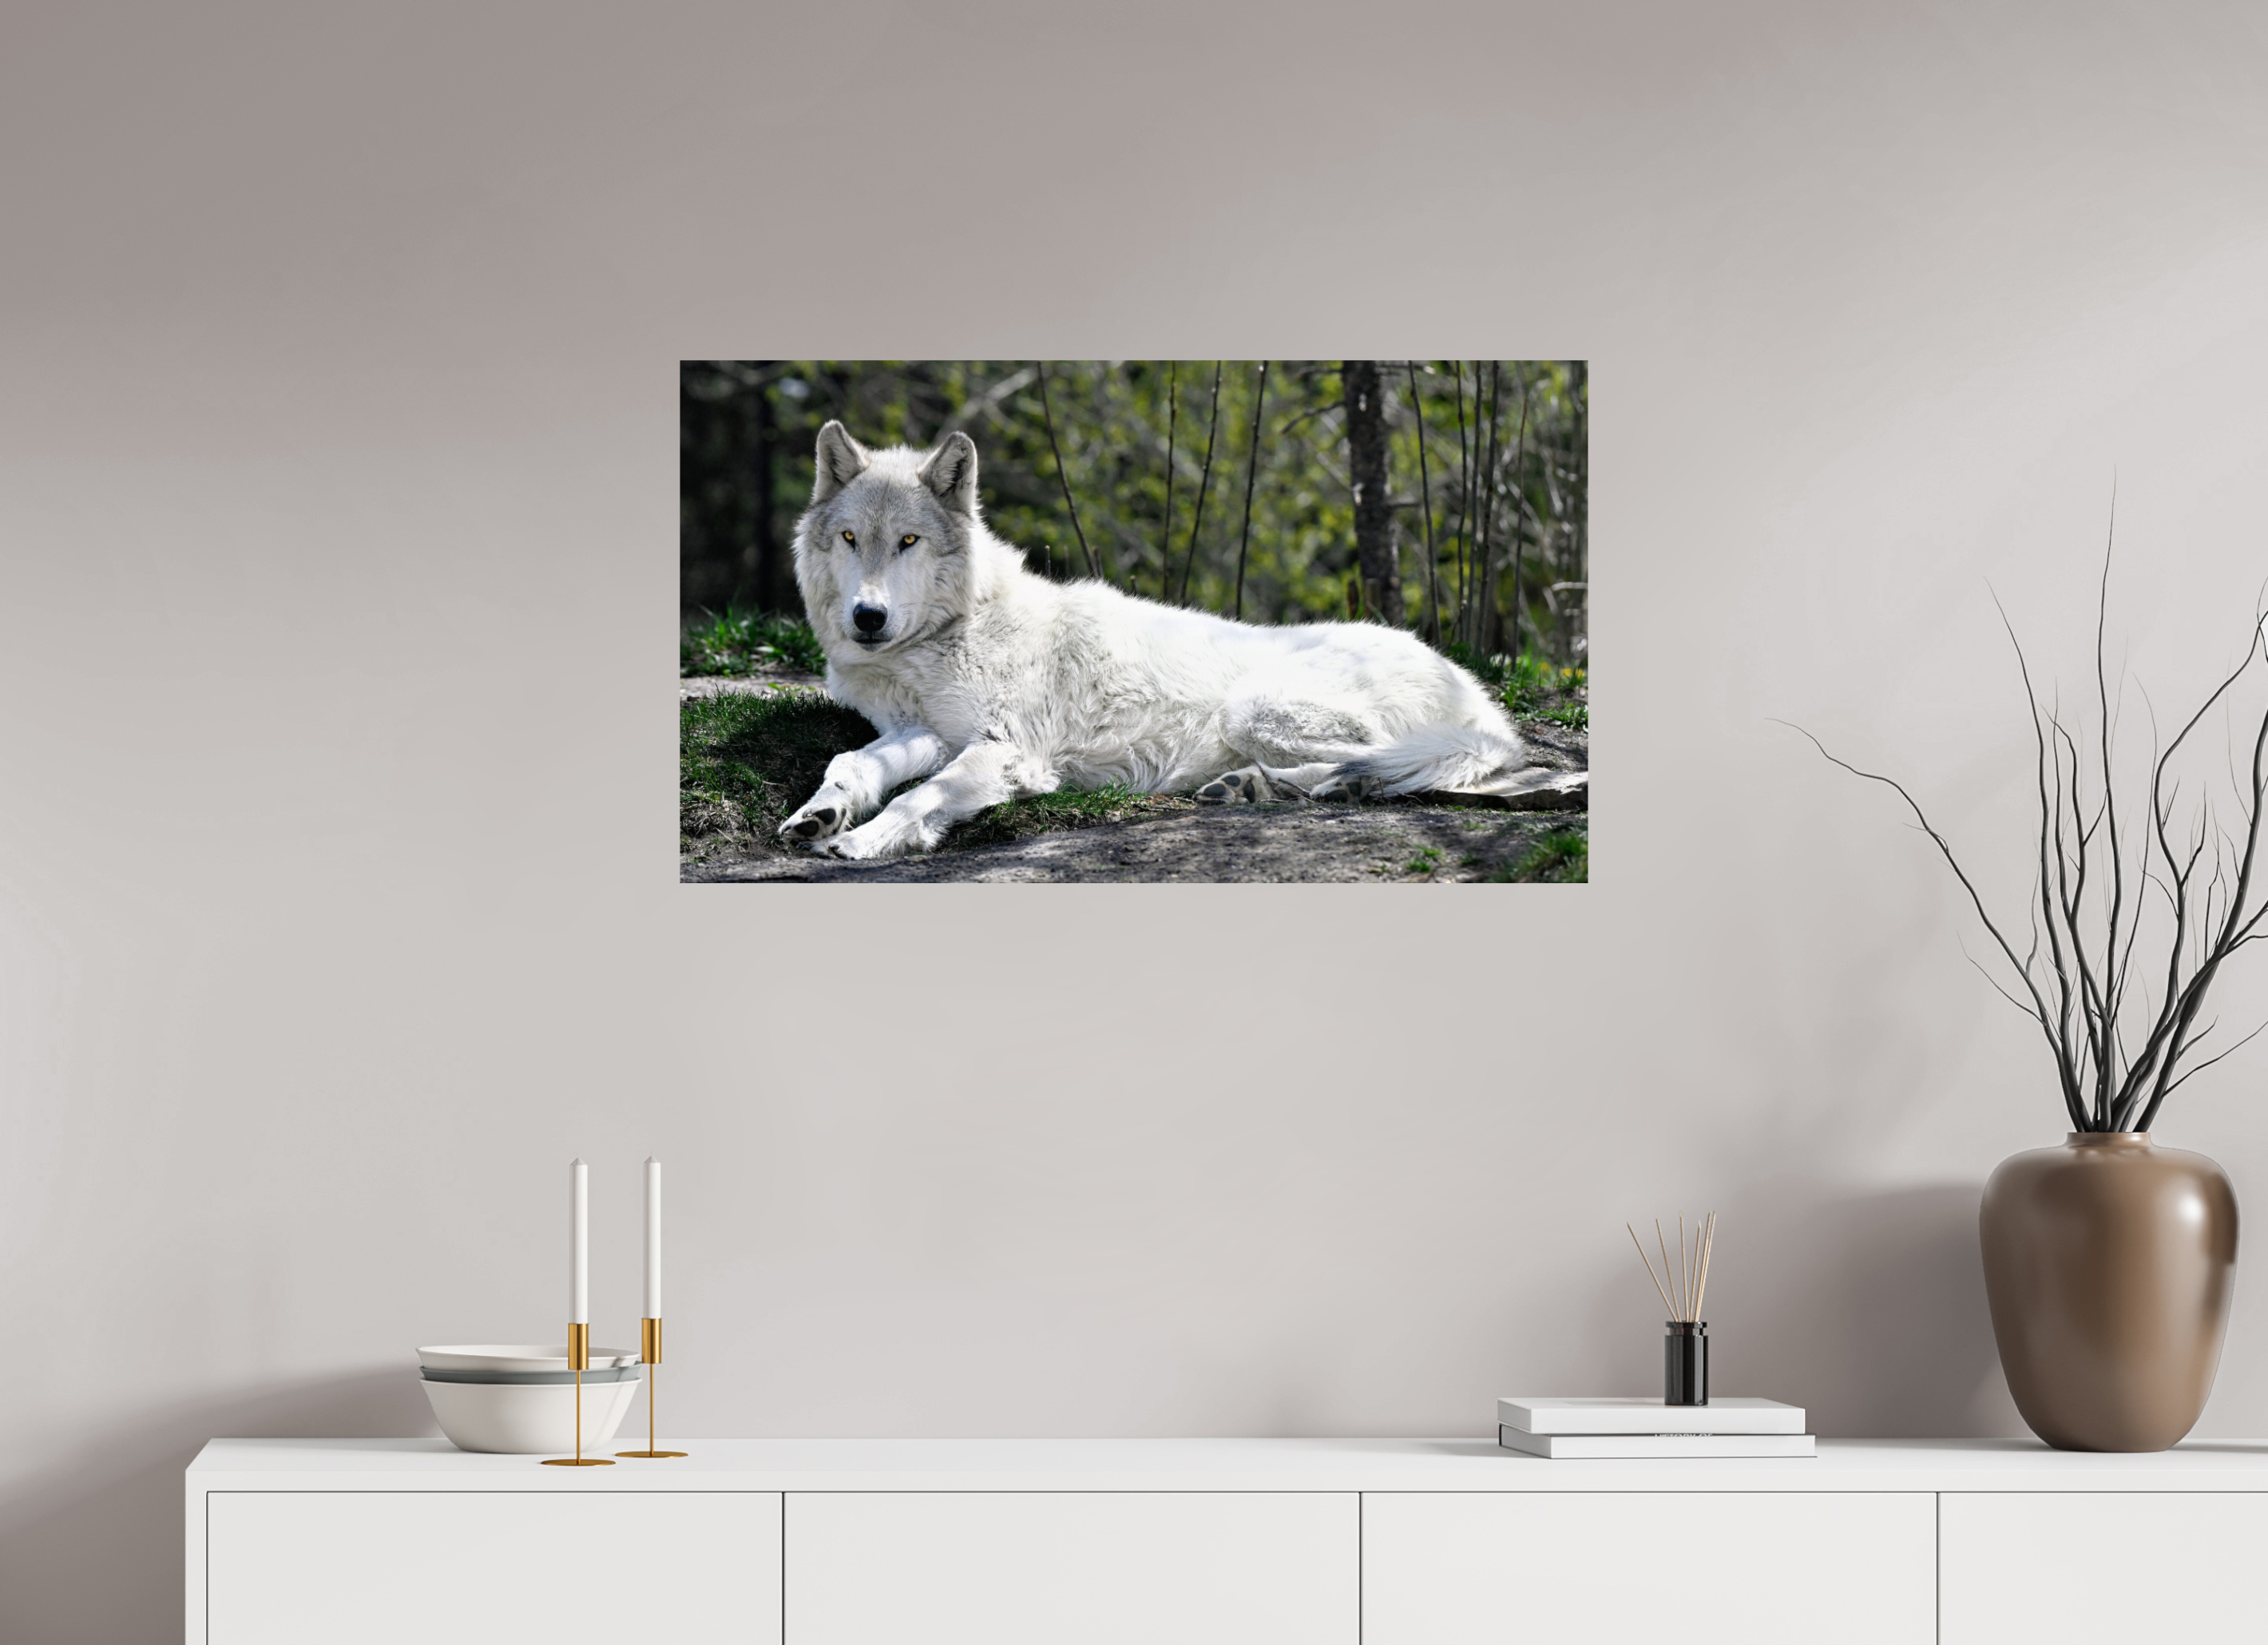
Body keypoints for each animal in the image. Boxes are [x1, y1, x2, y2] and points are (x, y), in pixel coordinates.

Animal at [777, 421, 1562, 859]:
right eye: (851, 538)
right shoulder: (929, 731)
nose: (867, 618)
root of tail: (1480, 697)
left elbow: (918, 798)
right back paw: (1254, 787)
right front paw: (820, 814)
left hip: (1258, 709)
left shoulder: (1007, 750)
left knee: (1391, 762)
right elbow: (854, 762)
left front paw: (863, 840)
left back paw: (1288, 783)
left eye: (908, 541)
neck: (954, 632)